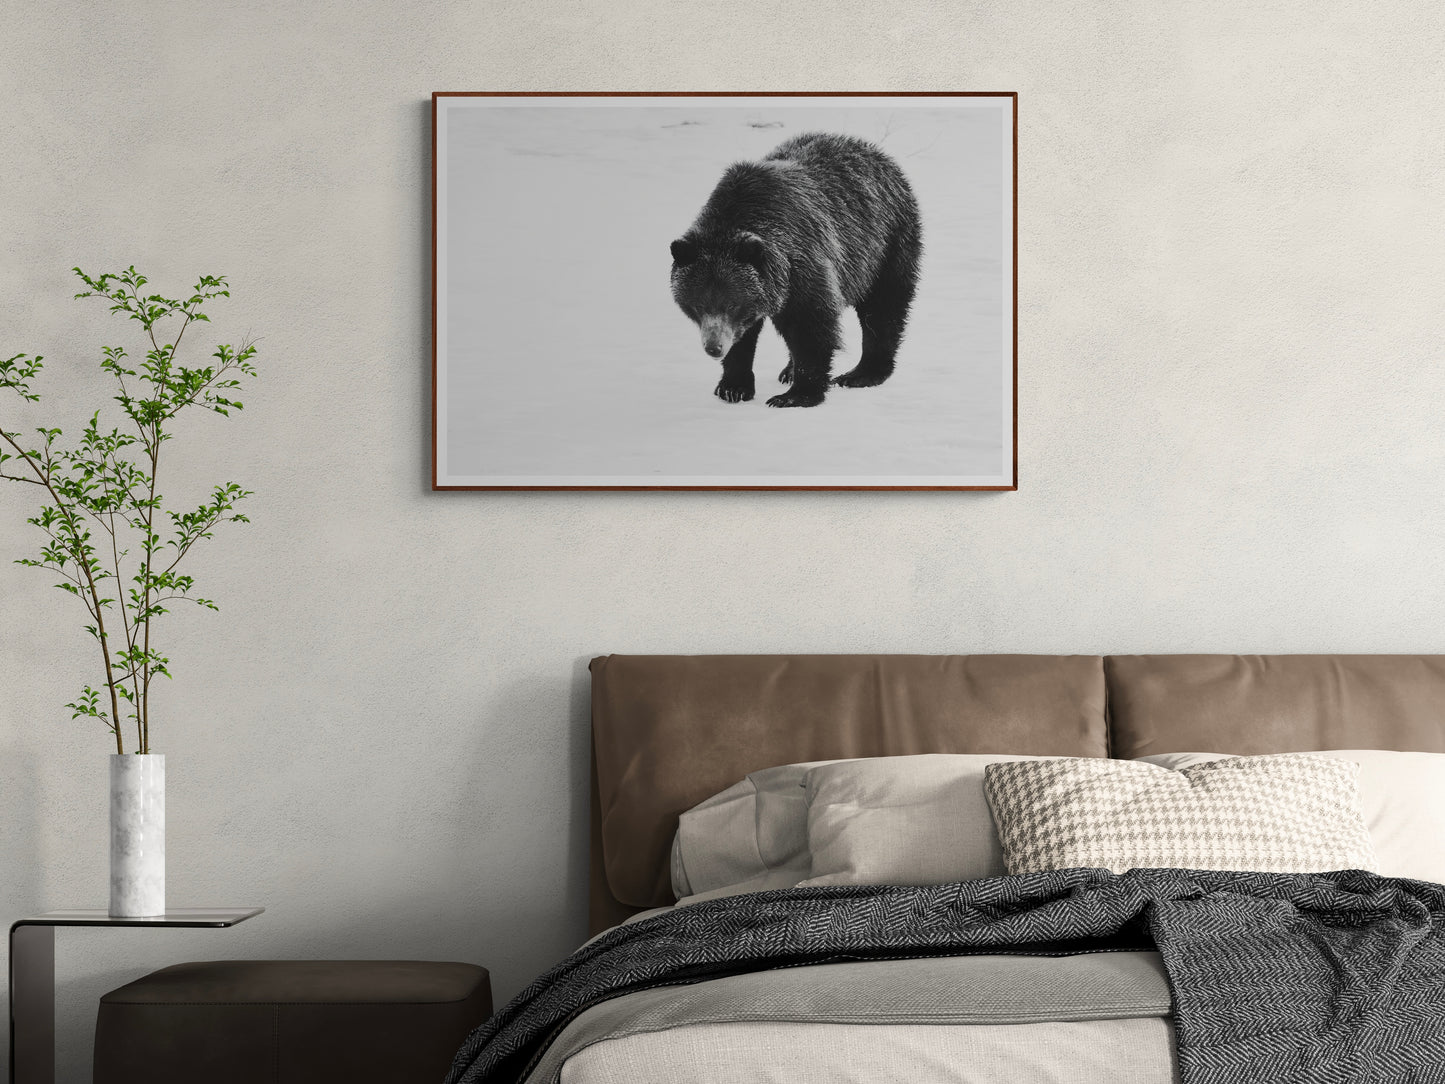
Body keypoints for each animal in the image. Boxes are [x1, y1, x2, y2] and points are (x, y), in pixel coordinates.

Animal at [669, 131, 922, 408]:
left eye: (732, 304)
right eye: (697, 304)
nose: (714, 348)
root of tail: (876, 152)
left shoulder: (801, 265)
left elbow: (810, 326)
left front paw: (795, 395)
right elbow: (744, 337)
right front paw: (733, 387)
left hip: (884, 245)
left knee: (883, 308)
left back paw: (863, 373)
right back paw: (788, 370)